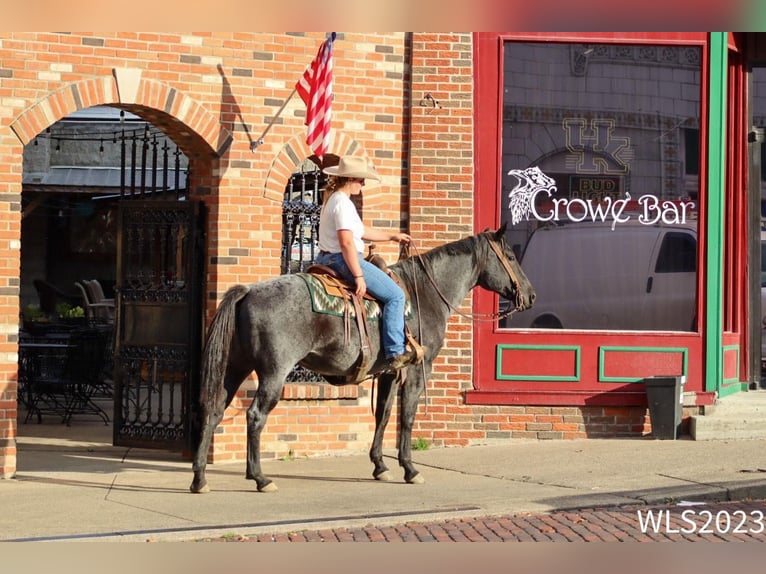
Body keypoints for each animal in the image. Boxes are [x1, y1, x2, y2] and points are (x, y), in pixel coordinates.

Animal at [190, 225, 536, 496]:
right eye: (512, 256)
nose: (531, 295)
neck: (425, 293)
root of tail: (249, 291)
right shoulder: (416, 370)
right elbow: (406, 417)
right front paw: (410, 469)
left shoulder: (388, 372)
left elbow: (383, 414)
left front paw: (380, 465)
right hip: (274, 373)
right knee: (255, 416)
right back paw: (260, 478)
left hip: (235, 367)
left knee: (214, 410)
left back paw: (200, 478)